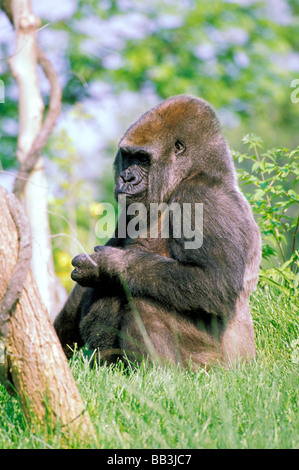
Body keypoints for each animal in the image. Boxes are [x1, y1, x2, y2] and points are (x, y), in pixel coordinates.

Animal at [54, 94, 262, 368]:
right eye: (128, 156)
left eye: (143, 159)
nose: (126, 178)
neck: (191, 174)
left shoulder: (201, 197)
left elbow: (215, 284)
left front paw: (107, 264)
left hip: (213, 366)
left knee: (145, 300)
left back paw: (161, 373)